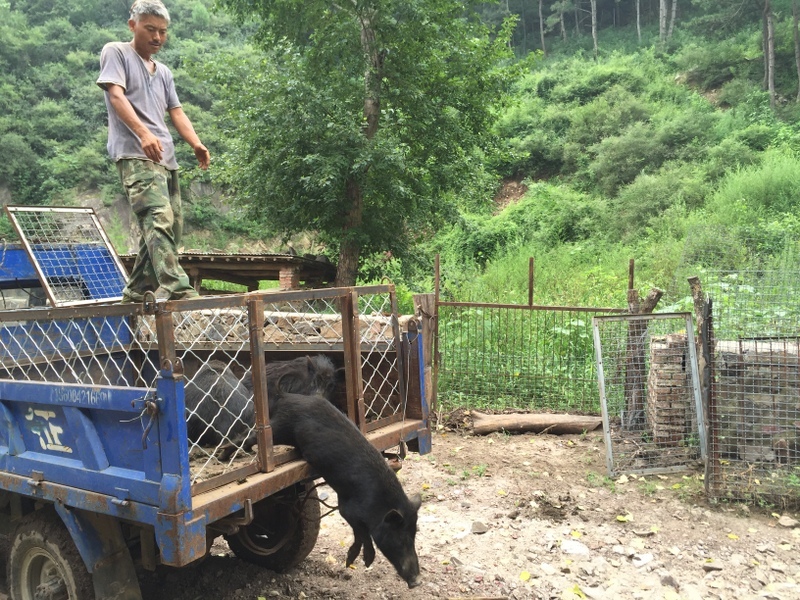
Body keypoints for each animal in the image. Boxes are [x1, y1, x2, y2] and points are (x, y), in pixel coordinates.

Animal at [272, 394, 424, 584]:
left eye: (414, 535)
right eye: (400, 539)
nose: (417, 582)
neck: (378, 504)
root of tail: (286, 397)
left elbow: (359, 533)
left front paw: (350, 562)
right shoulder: (348, 509)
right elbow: (363, 532)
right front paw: (365, 561)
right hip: (279, 427)